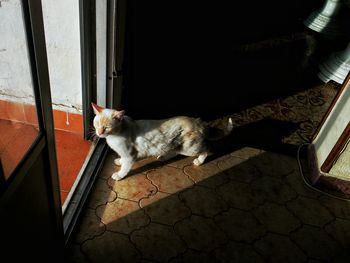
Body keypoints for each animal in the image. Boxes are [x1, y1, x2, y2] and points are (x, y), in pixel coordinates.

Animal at [91, 103, 232, 182]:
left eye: (107, 127)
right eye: (96, 124)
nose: (99, 133)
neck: (114, 136)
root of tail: (200, 122)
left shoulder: (130, 156)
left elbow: (125, 167)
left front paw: (119, 175)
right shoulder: (125, 154)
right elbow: (122, 159)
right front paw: (119, 161)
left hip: (190, 148)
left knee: (207, 148)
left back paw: (199, 161)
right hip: (178, 145)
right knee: (175, 151)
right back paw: (163, 156)